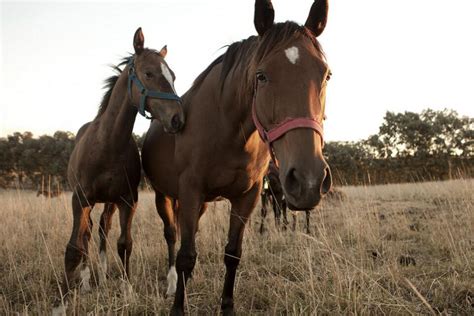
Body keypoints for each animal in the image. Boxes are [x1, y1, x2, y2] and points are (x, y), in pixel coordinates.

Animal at [58, 29, 183, 302]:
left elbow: (125, 243)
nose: (177, 119)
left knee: (104, 227)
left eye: (173, 75)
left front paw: (127, 290)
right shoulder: (80, 200)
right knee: (89, 232)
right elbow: (77, 244)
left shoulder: (127, 199)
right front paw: (79, 286)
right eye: (149, 73)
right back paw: (88, 280)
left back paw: (104, 275)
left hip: (110, 202)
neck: (108, 145)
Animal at [143, 1, 332, 314]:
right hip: (165, 196)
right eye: (261, 75)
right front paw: (179, 306)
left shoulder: (248, 196)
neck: (227, 130)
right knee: (172, 237)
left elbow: (232, 253)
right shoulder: (190, 190)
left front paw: (227, 306)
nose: (308, 181)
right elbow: (185, 255)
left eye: (326, 75)